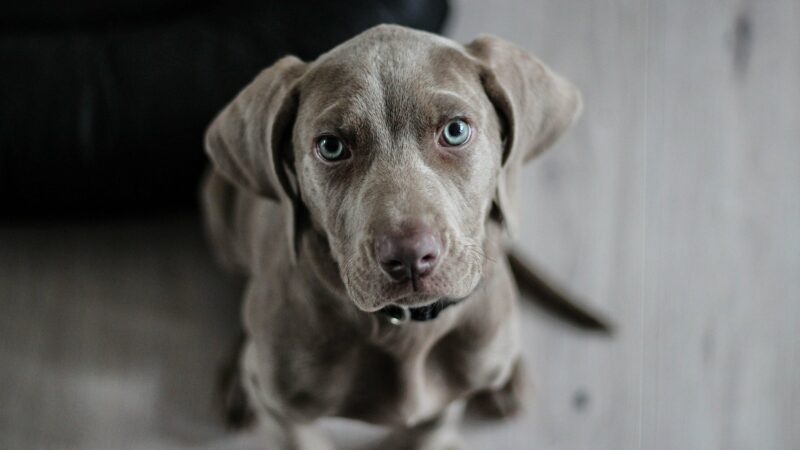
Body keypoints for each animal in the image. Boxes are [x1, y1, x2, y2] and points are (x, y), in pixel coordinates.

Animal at [203, 25, 596, 450]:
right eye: (331, 146)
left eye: (455, 131)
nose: (409, 256)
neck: (405, 331)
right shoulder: (283, 411)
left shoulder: (444, 404)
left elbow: (428, 432)